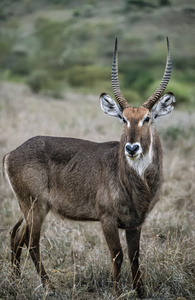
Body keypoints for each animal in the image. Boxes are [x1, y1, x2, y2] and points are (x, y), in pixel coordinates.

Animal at [3, 37, 174, 298]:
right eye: (124, 118)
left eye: (147, 118)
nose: (131, 147)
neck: (138, 185)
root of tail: (12, 153)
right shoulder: (107, 219)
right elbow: (117, 256)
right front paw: (116, 292)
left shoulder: (135, 223)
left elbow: (135, 258)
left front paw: (141, 293)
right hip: (35, 206)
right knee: (32, 243)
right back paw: (49, 287)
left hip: (28, 207)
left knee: (15, 235)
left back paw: (15, 282)